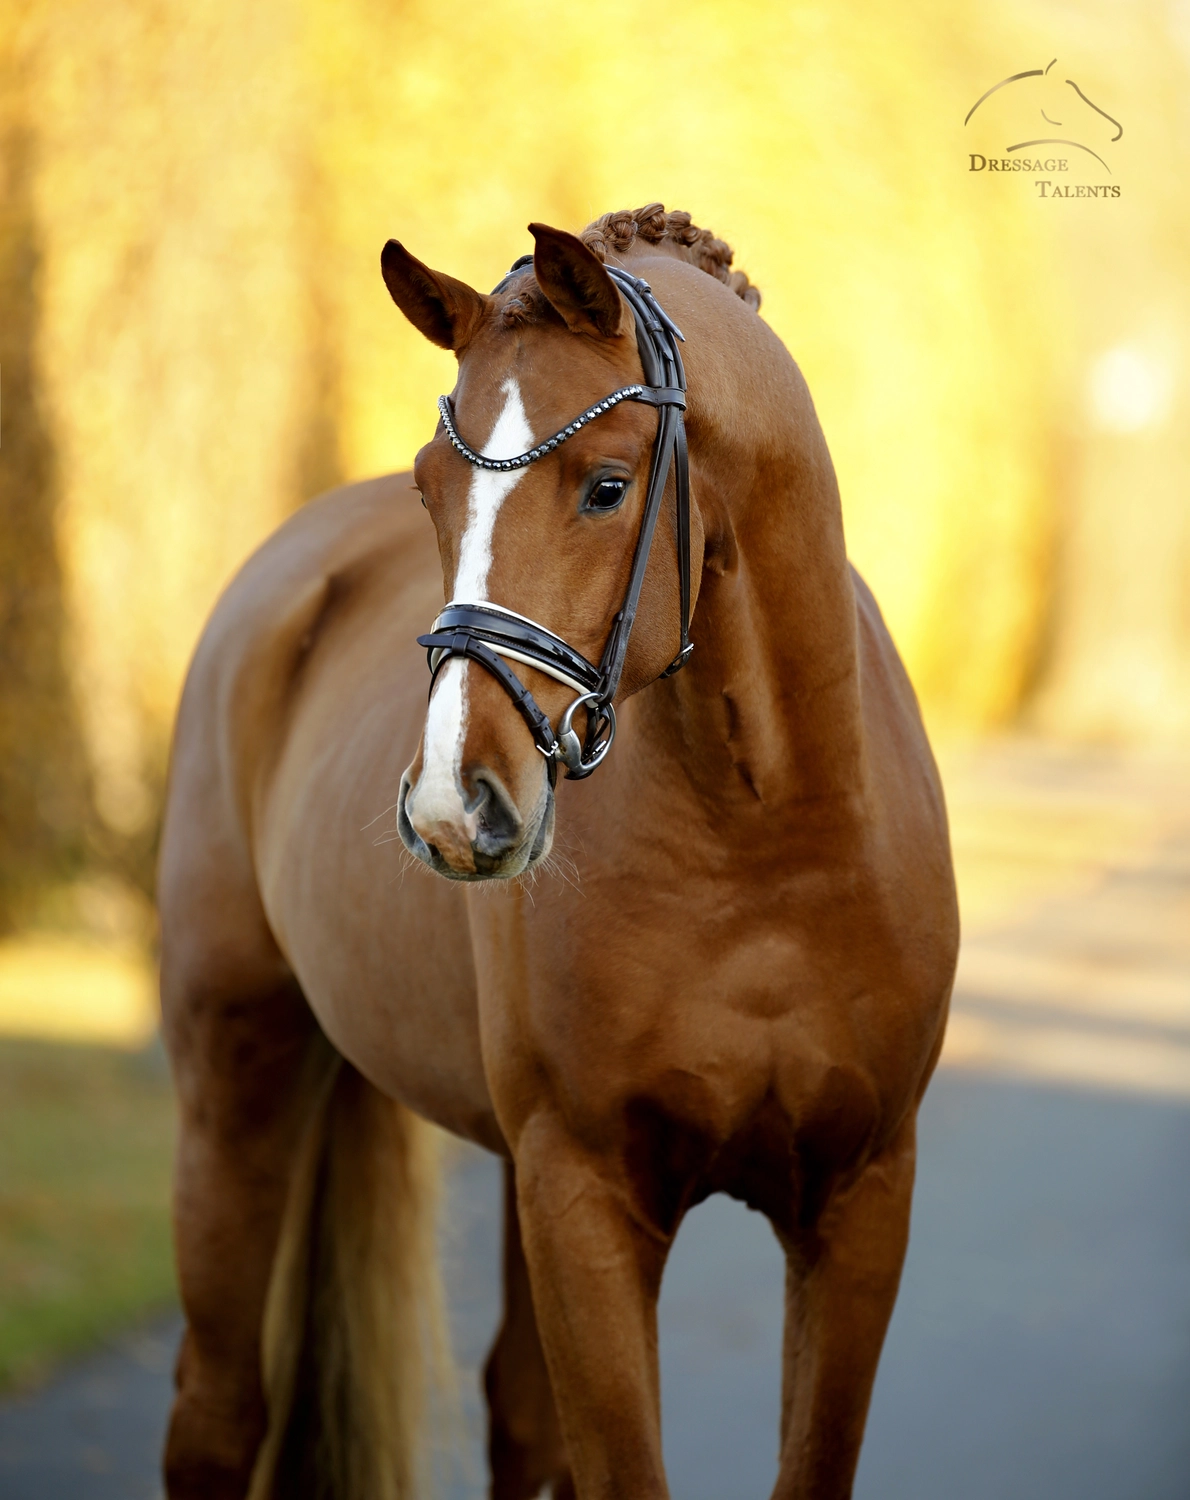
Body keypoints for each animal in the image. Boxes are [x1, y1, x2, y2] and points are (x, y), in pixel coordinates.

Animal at [158, 202, 959, 1500]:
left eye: (605, 486)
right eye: (431, 487)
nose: (453, 807)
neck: (761, 845)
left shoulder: (857, 1201)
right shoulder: (583, 1195)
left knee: (516, 1419)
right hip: (235, 1081)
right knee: (219, 1417)